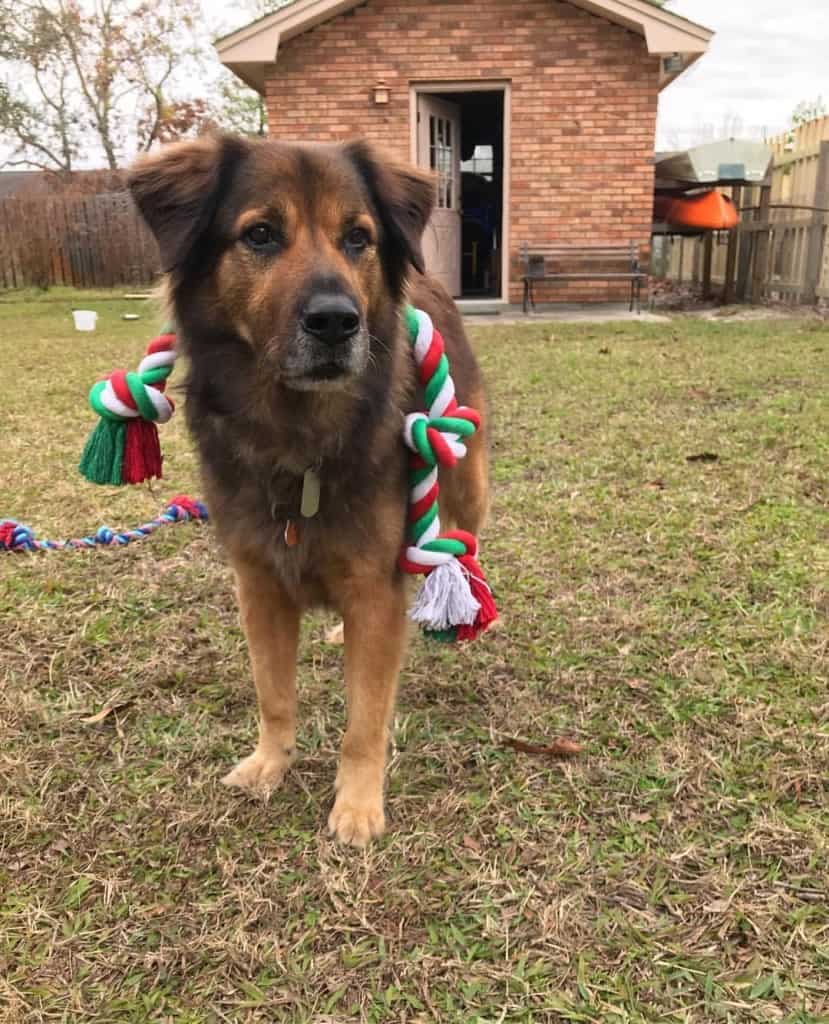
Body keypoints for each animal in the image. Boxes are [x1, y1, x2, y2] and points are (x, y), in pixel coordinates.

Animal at [128, 132, 487, 843]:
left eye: (358, 238)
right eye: (261, 234)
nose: (336, 322)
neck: (296, 433)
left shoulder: (375, 584)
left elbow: (365, 718)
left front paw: (357, 803)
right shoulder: (260, 584)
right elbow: (273, 693)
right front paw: (271, 763)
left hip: (468, 481)